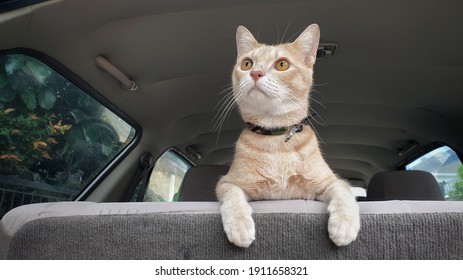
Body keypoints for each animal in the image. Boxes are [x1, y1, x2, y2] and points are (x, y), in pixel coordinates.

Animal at [216, 24, 360, 247]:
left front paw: (344, 223)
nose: (255, 73)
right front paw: (239, 224)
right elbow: (233, 196)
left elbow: (344, 193)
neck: (276, 139)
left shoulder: (331, 182)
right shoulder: (227, 183)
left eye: (282, 64)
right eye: (247, 64)